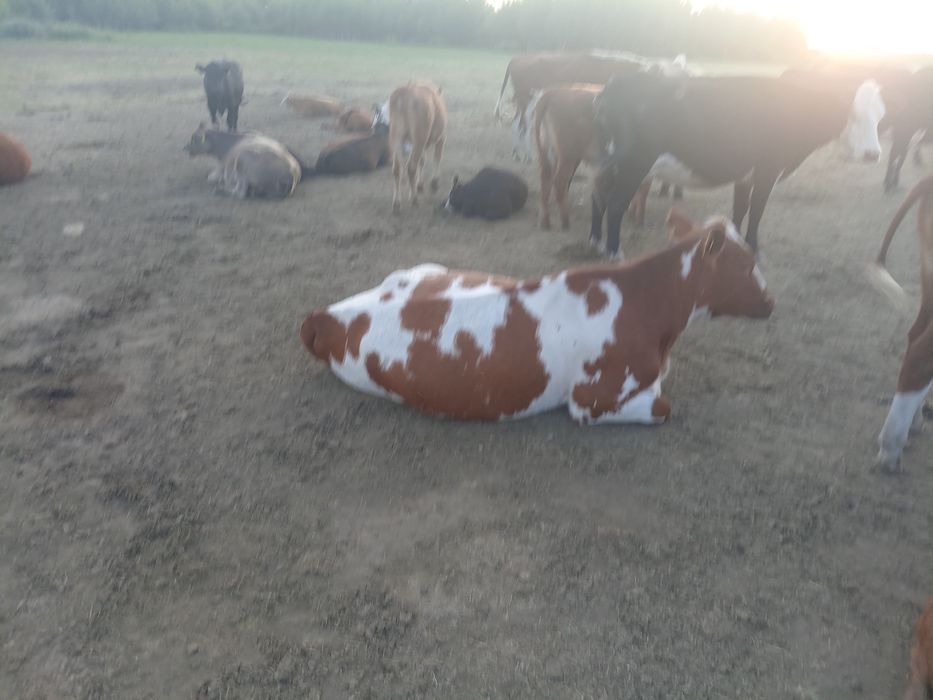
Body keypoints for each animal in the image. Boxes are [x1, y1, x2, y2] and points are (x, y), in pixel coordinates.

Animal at [299, 208, 773, 424]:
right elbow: (665, 405)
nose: (771, 302)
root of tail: (327, 315)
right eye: (745, 263)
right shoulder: (591, 402)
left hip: (422, 267)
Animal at [387, 81, 447, 214]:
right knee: (411, 167)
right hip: (419, 137)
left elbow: (422, 161)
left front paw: (419, 184)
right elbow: (437, 157)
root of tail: (406, 93)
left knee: (397, 168)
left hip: (396, 136)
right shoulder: (441, 138)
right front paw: (434, 182)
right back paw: (414, 199)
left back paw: (396, 203)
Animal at [590, 73, 887, 257]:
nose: (873, 154)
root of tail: (616, 84)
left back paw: (595, 240)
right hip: (633, 165)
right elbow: (756, 211)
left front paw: (733, 243)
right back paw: (614, 251)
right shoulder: (767, 170)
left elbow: (740, 209)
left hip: (609, 162)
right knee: (615, 204)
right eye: (851, 114)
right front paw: (754, 248)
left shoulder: (746, 175)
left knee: (598, 196)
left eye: (880, 116)